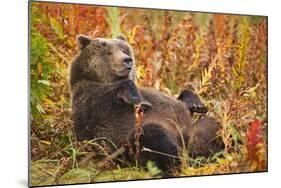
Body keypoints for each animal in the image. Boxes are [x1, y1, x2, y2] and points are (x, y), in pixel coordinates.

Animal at [68, 34, 223, 175]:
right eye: (108, 52)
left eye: (124, 50)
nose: (127, 60)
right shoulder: (92, 101)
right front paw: (140, 100)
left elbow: (182, 101)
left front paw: (197, 104)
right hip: (132, 143)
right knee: (153, 136)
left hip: (194, 130)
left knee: (212, 126)